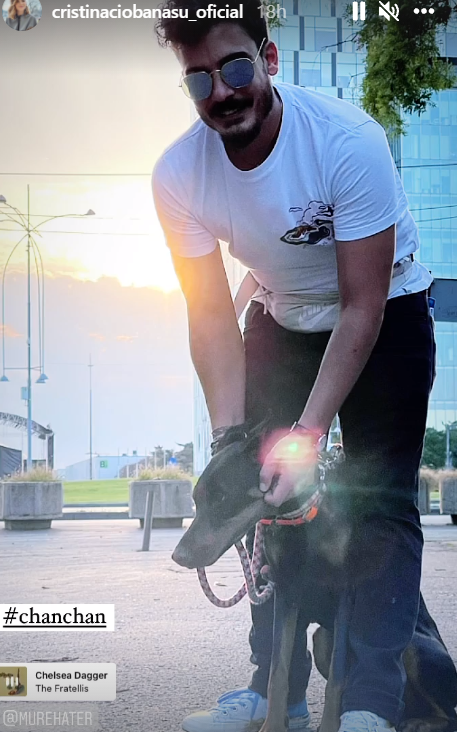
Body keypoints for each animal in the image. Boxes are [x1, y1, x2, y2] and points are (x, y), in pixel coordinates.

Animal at [172, 423, 457, 732]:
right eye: (196, 500)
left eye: (223, 497)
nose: (178, 556)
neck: (302, 516)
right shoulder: (285, 590)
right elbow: (278, 671)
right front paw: (272, 725)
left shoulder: (344, 591)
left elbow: (337, 677)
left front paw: (331, 725)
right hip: (323, 638)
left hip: (414, 650)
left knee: (447, 713)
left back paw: (420, 722)